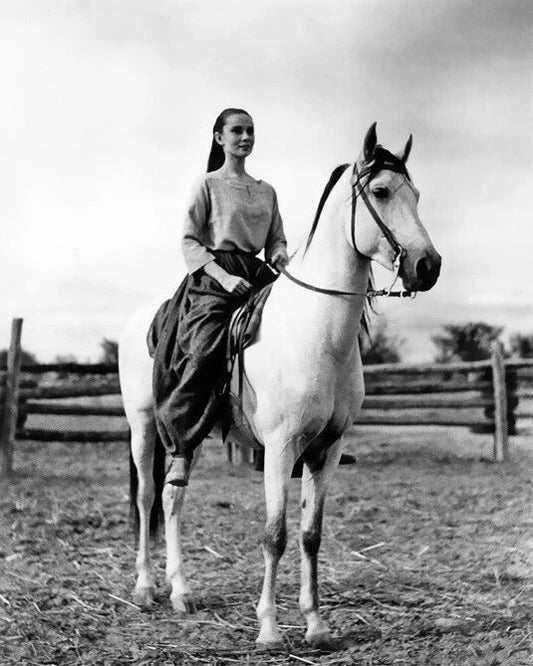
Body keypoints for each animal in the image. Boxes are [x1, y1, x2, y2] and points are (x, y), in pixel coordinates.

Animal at [118, 123, 441, 647]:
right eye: (381, 191)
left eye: (416, 195)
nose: (427, 266)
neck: (317, 333)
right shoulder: (280, 447)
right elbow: (275, 534)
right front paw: (269, 628)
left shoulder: (326, 449)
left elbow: (311, 534)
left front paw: (316, 624)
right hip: (144, 426)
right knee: (148, 496)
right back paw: (146, 587)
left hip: (190, 433)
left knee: (172, 497)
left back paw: (181, 591)